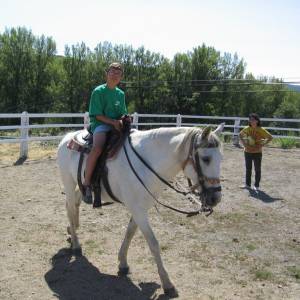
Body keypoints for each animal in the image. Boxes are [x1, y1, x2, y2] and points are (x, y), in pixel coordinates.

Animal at [57, 123, 224, 296]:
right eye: (206, 159)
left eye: (221, 158)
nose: (215, 198)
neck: (147, 163)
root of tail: (68, 136)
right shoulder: (139, 211)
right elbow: (153, 244)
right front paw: (167, 283)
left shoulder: (139, 209)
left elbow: (130, 233)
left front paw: (123, 263)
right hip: (68, 183)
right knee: (69, 208)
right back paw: (76, 244)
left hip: (81, 185)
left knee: (75, 204)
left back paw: (72, 230)